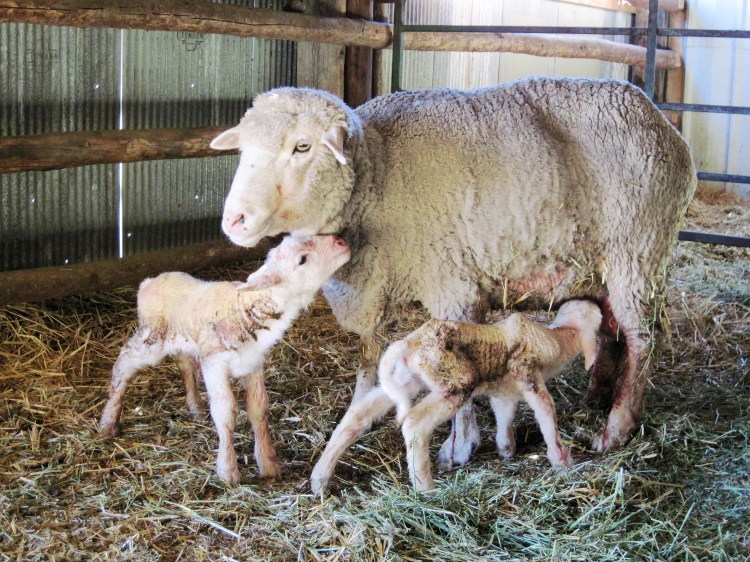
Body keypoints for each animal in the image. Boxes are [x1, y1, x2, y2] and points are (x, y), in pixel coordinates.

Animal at [98, 233, 350, 484]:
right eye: (302, 260)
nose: (341, 241)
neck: (245, 309)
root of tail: (150, 281)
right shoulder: (214, 365)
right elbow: (225, 411)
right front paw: (228, 470)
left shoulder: (252, 364)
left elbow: (258, 408)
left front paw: (268, 464)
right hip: (152, 337)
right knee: (124, 363)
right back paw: (108, 421)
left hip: (183, 337)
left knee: (184, 362)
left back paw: (195, 406)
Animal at [310, 300, 602, 492]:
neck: (557, 340)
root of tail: (407, 345)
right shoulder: (526, 371)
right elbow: (546, 410)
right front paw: (563, 462)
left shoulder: (504, 390)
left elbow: (505, 415)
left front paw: (506, 450)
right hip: (455, 381)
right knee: (415, 424)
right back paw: (426, 489)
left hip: (405, 379)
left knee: (359, 415)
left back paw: (320, 479)